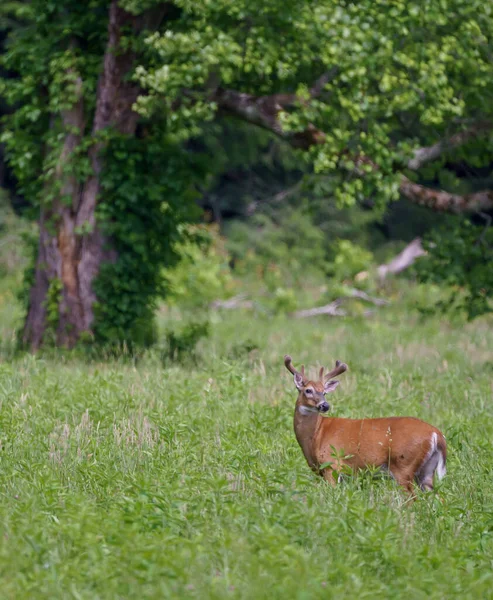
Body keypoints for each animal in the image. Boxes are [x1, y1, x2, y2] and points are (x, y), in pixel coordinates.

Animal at [282, 354, 444, 494]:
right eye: (308, 390)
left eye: (324, 392)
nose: (325, 405)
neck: (316, 435)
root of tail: (436, 435)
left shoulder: (331, 464)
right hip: (426, 471)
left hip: (403, 465)